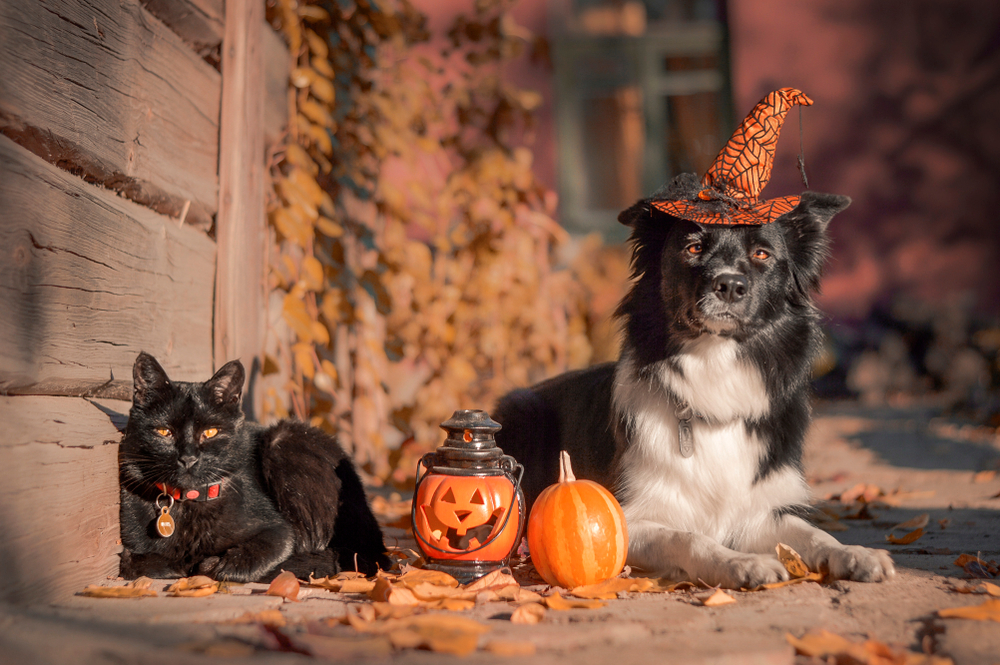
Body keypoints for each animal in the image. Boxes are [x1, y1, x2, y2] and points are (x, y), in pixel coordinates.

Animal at [117, 352, 390, 580]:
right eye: (164, 432)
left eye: (211, 432)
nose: (188, 458)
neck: (189, 503)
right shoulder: (132, 544)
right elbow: (134, 562)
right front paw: (176, 565)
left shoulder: (278, 532)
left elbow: (251, 558)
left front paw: (218, 564)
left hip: (284, 439)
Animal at [496, 175, 896, 588]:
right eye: (694, 247)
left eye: (762, 254)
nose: (730, 285)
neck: (713, 368)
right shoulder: (628, 518)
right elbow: (688, 538)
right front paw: (740, 562)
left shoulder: (759, 511)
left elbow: (814, 534)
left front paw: (854, 554)